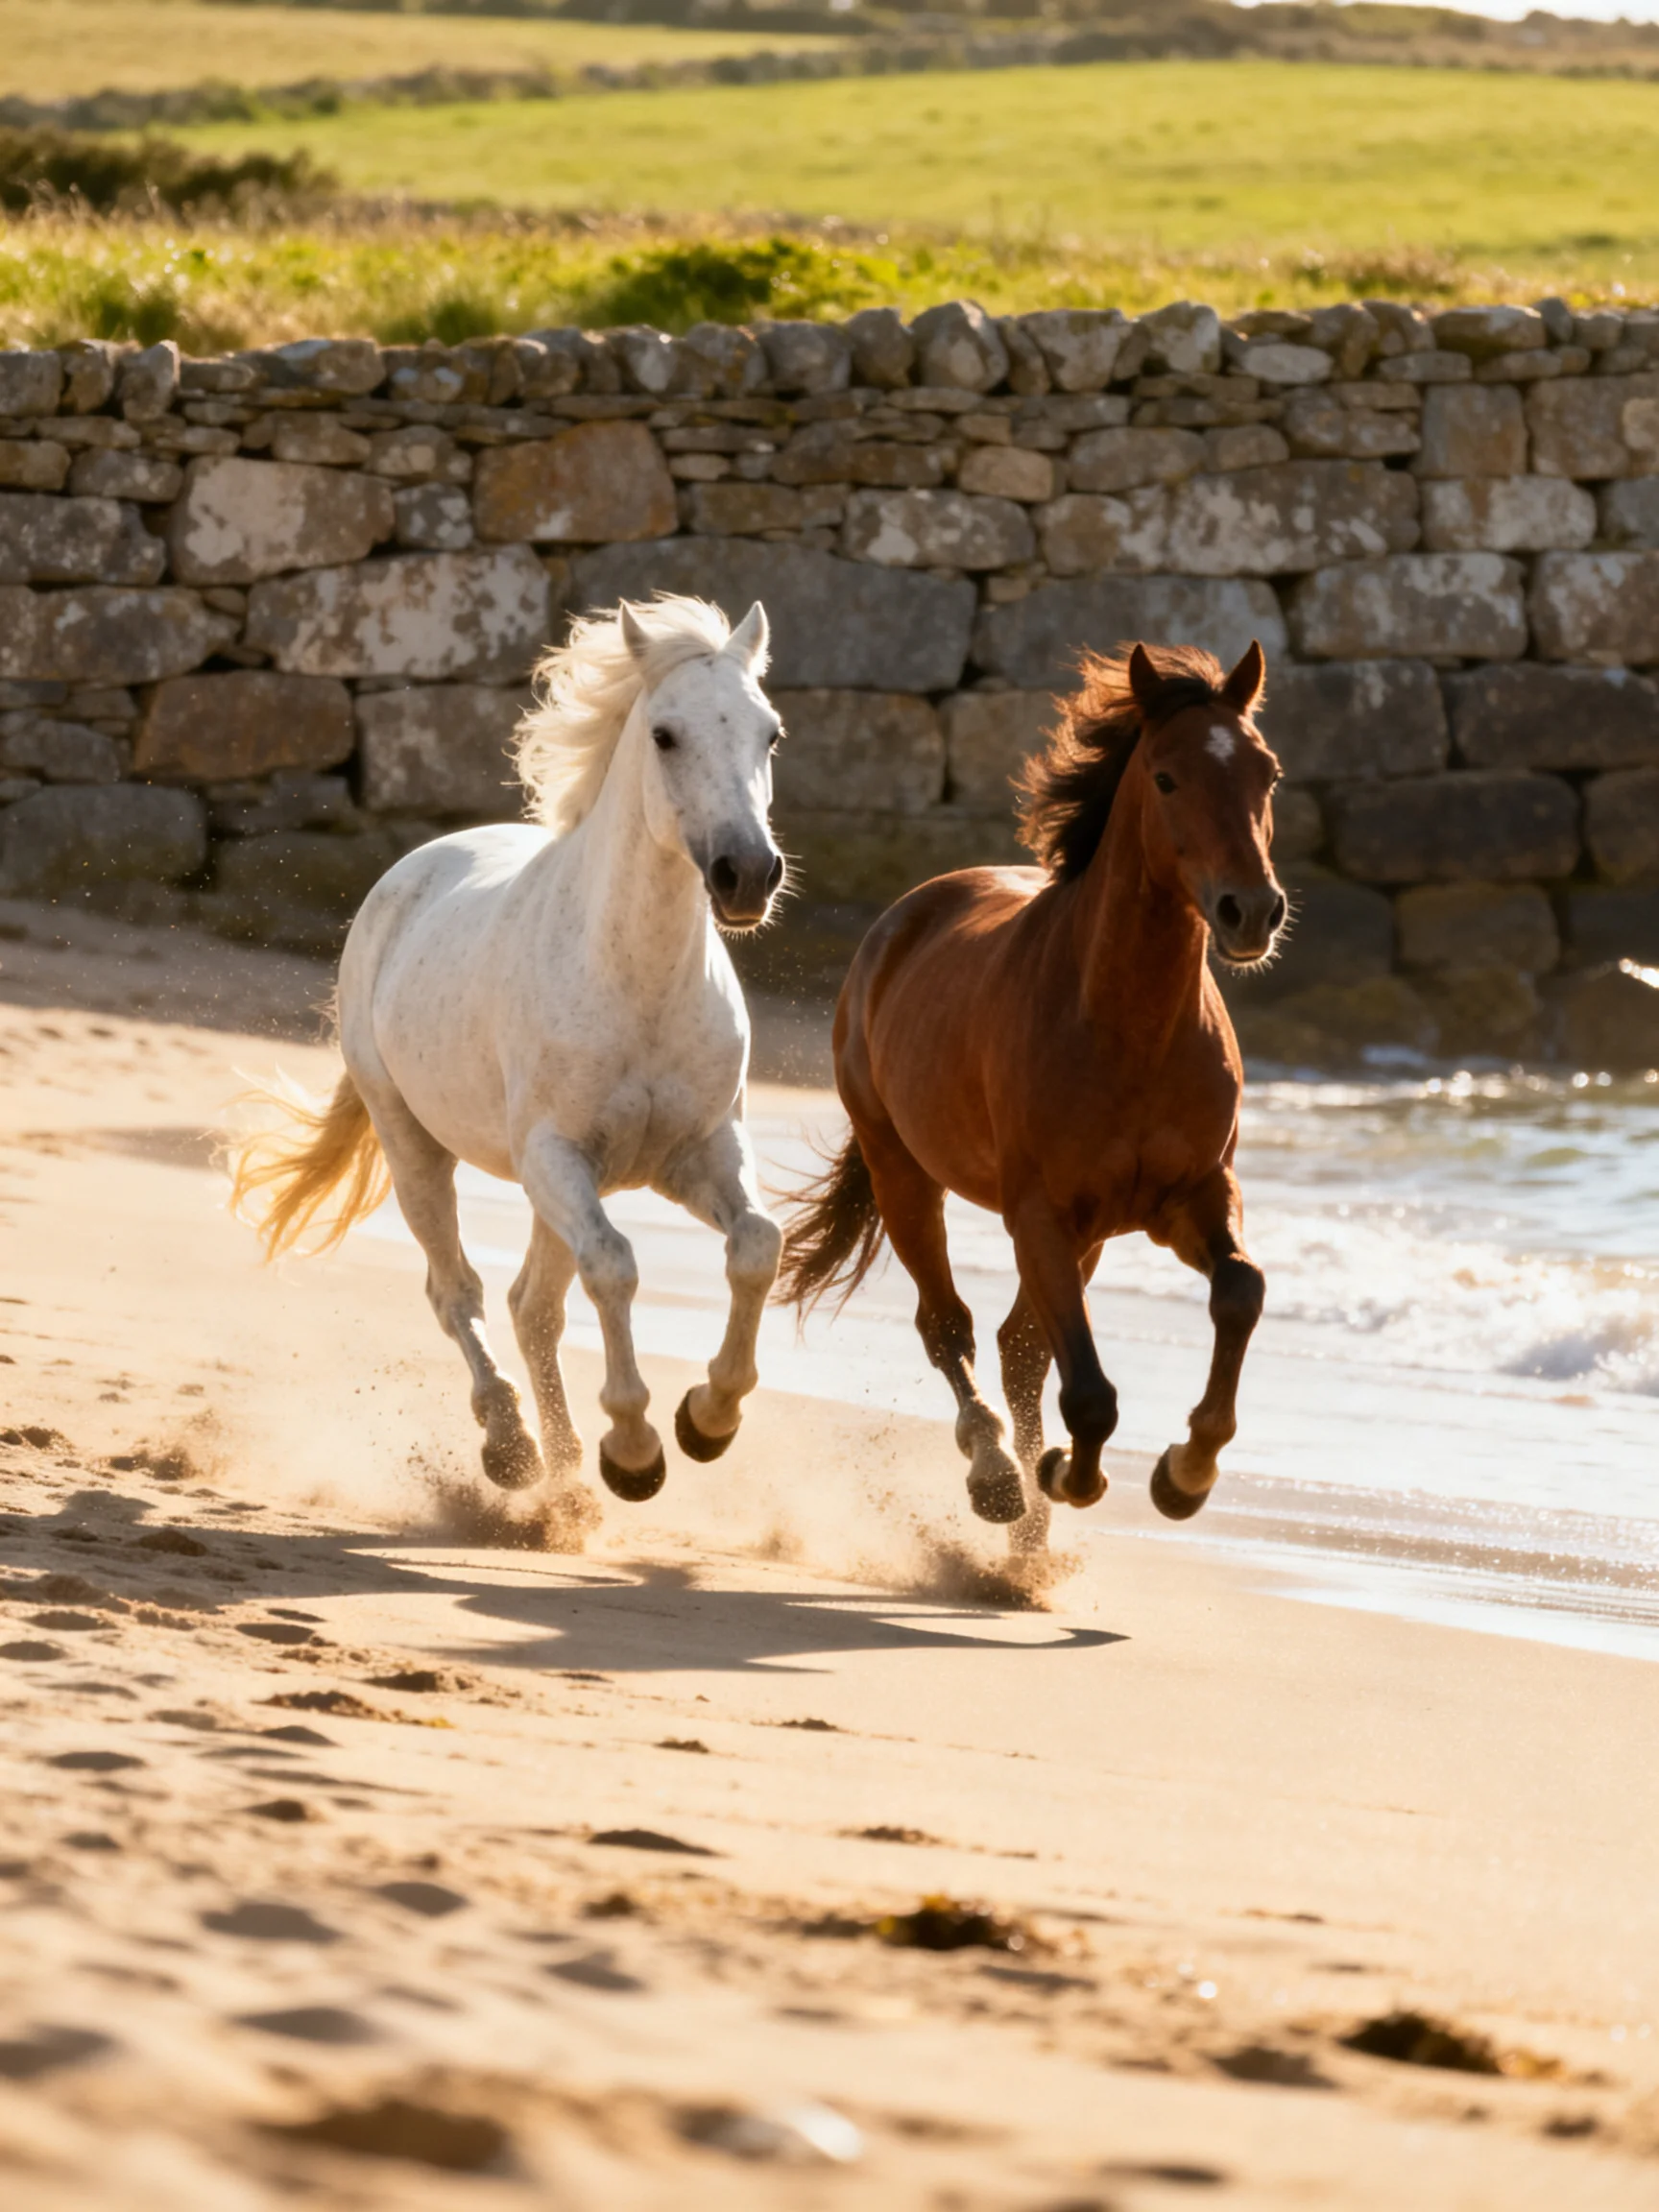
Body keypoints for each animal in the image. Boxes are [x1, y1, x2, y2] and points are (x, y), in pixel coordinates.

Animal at [231, 593, 787, 1531]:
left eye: (769, 733)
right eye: (665, 734)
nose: (746, 873)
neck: (634, 978)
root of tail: (406, 874)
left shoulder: (698, 1152)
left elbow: (756, 1245)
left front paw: (706, 1420)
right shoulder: (557, 1157)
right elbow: (615, 1268)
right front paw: (634, 1451)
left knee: (533, 1307)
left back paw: (563, 1473)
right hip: (415, 1145)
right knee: (458, 1291)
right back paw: (515, 1448)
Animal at [777, 639, 1285, 1549]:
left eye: (1268, 773)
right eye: (1166, 777)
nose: (1251, 912)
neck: (1127, 1028)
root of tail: (899, 920)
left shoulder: (1187, 1197)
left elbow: (1239, 1291)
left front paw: (1184, 1474)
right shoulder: (1040, 1214)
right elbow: (1086, 1391)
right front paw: (1061, 1476)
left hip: (1088, 1232)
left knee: (1017, 1345)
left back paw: (1030, 1541)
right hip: (904, 1174)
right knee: (951, 1327)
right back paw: (999, 1481)